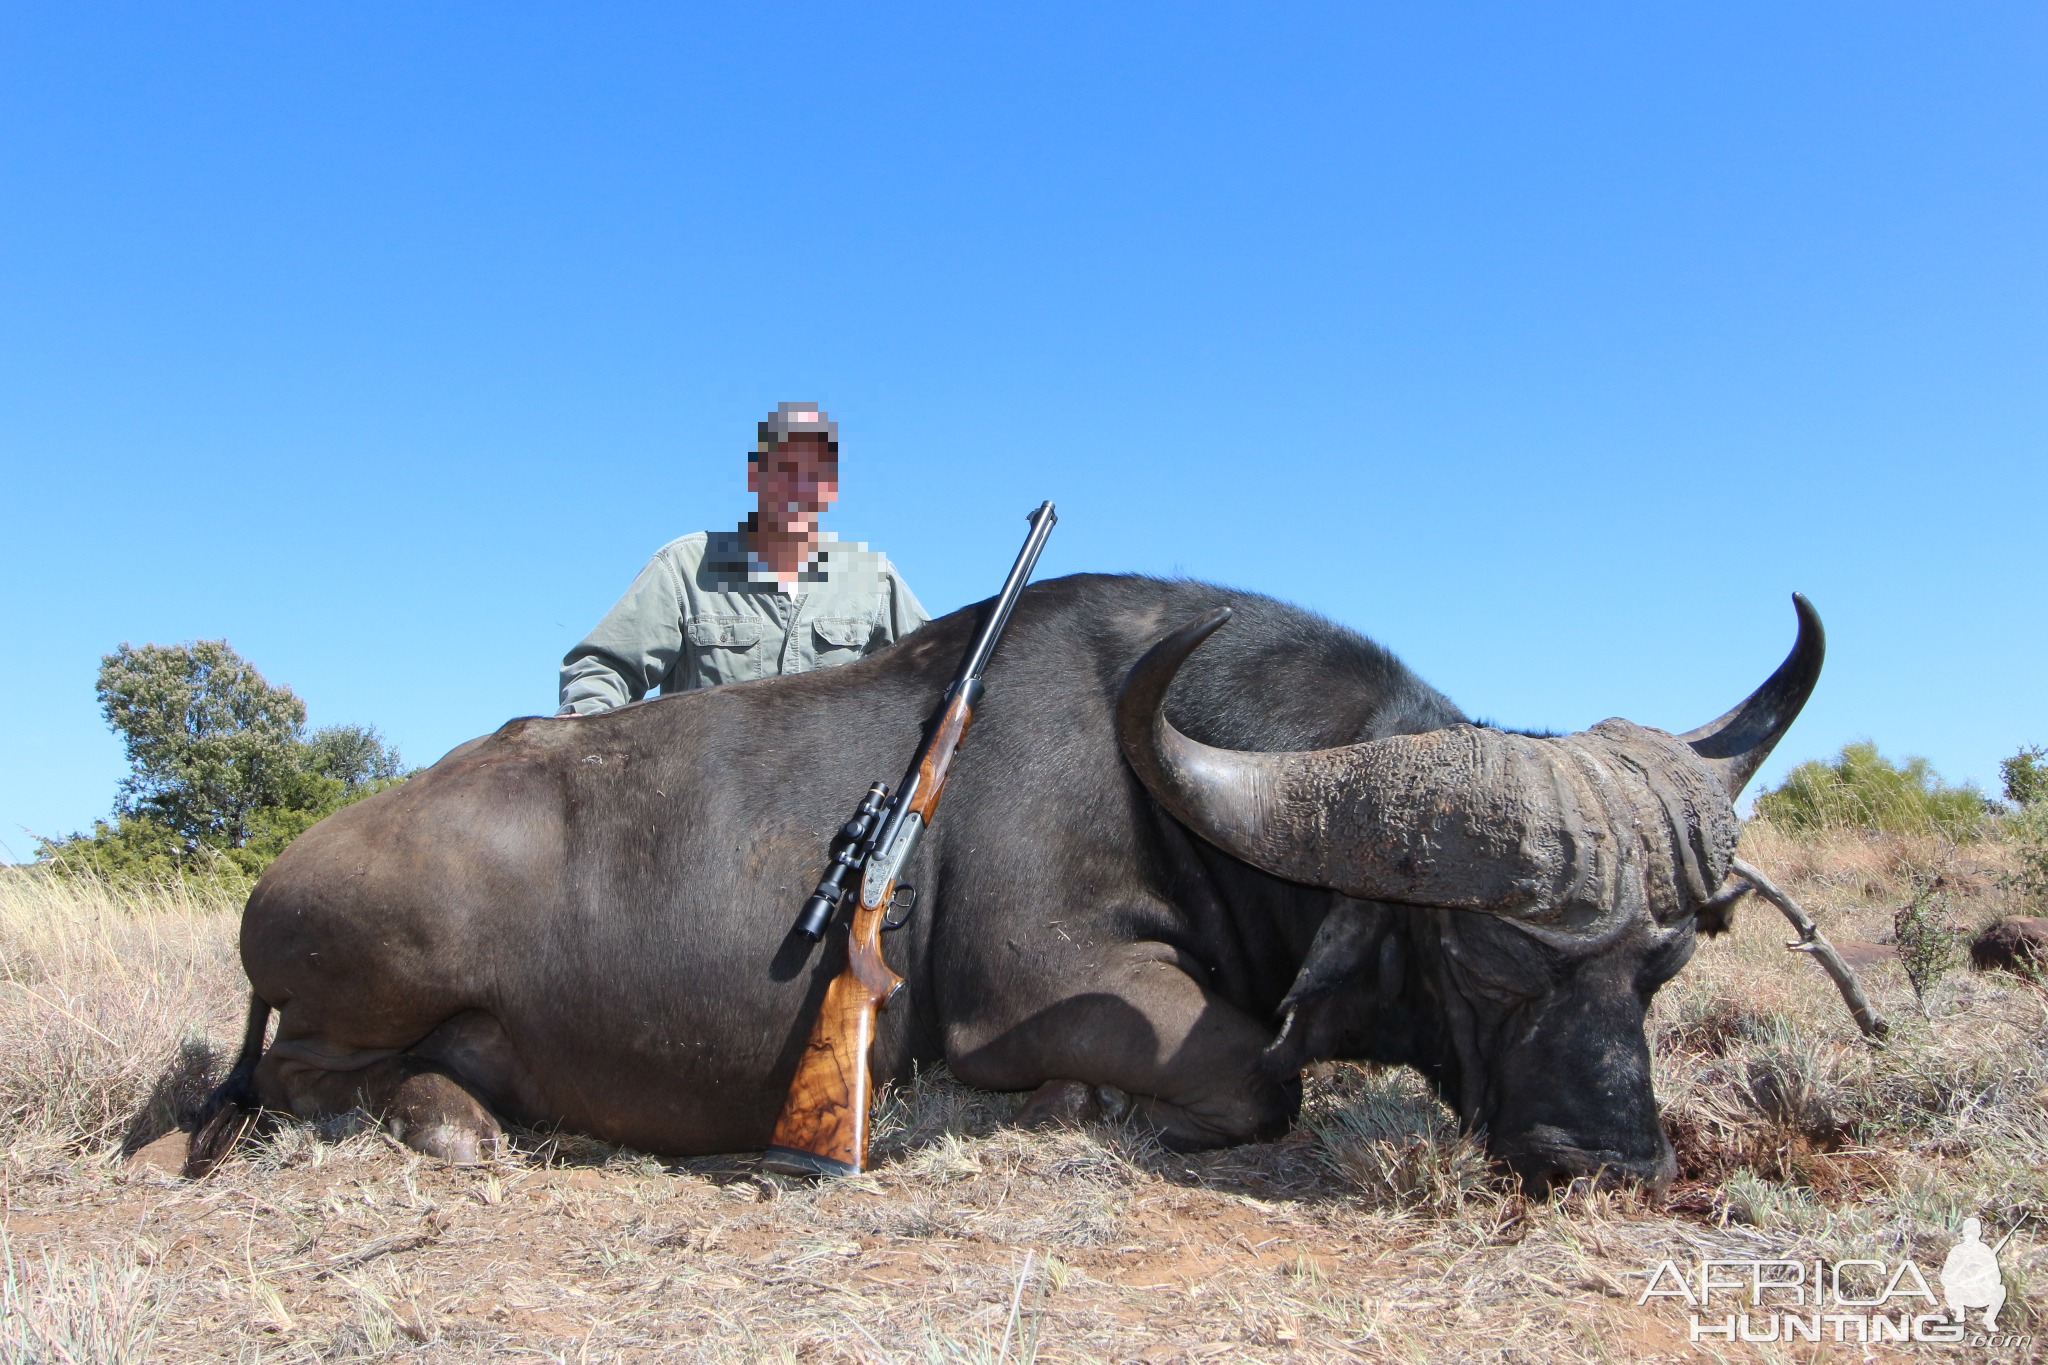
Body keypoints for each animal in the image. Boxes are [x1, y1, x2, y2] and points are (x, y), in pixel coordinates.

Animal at [192, 573, 1826, 1186]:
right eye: (1486, 957)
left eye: (1666, 962)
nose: (1602, 1157)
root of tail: (283, 878)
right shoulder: (1053, 995)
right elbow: (1259, 1080)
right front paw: (1060, 1110)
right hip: (361, 987)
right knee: (302, 1078)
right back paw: (448, 1119)